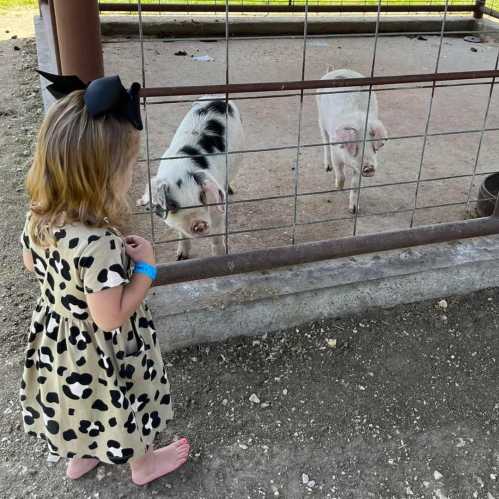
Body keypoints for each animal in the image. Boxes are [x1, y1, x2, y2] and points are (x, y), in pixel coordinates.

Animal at [139, 98, 244, 262]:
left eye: (202, 196)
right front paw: (181, 257)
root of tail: (217, 97)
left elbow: (217, 237)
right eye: (173, 205)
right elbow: (182, 234)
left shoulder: (217, 209)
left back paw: (231, 190)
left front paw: (220, 256)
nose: (199, 224)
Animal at [316, 68, 390, 213]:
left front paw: (354, 210)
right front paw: (338, 187)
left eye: (373, 146)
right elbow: (340, 173)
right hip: (320, 118)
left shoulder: (357, 168)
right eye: (355, 146)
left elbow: (355, 185)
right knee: (324, 141)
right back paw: (327, 168)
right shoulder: (336, 153)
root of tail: (337, 70)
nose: (369, 168)